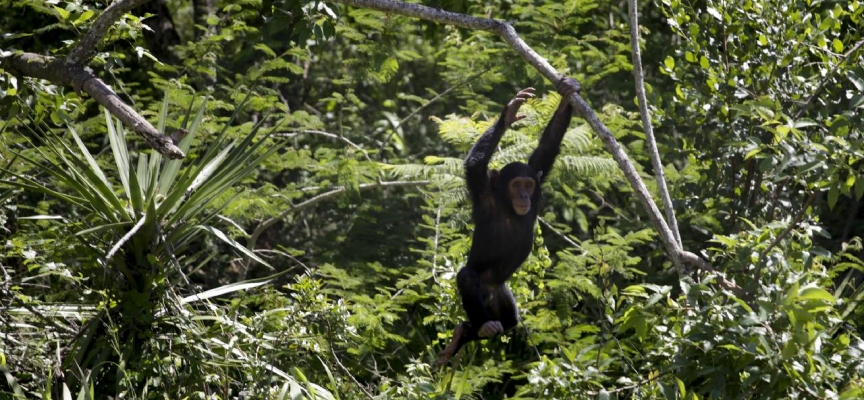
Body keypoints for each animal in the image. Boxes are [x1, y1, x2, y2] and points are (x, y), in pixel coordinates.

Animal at [438, 76, 580, 364]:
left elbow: (548, 146)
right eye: (516, 185)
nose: (524, 195)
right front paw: (509, 112)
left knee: (510, 321)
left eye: (528, 184)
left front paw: (567, 91)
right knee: (467, 277)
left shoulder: (539, 176)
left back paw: (464, 334)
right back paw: (481, 326)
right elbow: (474, 164)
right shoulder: (482, 191)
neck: (508, 207)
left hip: (502, 294)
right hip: (481, 296)